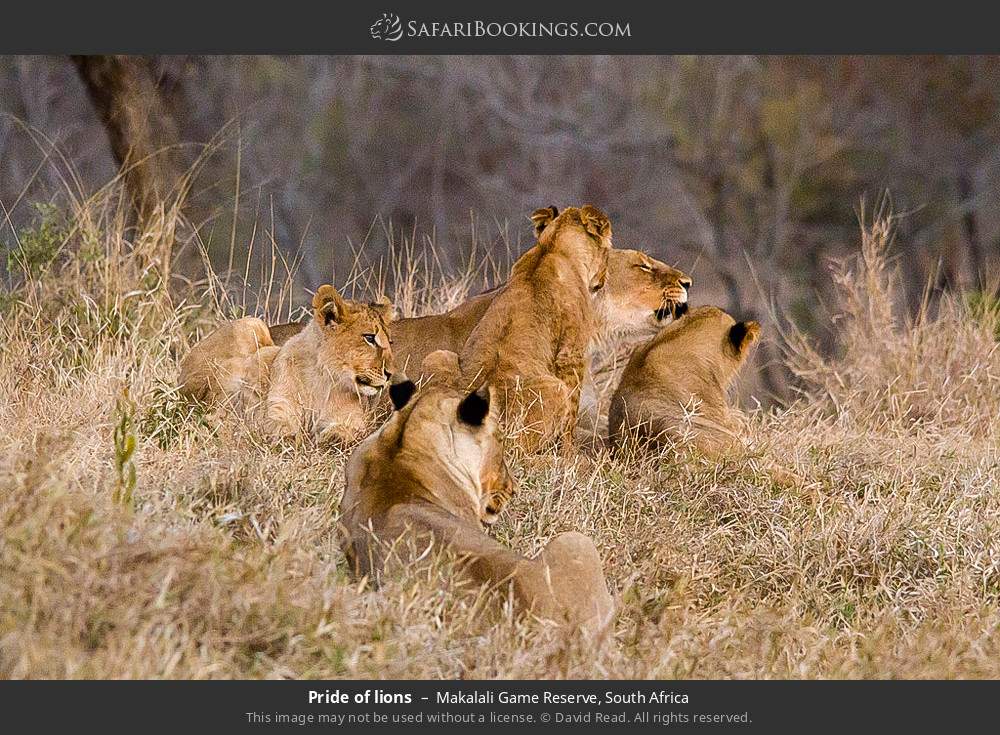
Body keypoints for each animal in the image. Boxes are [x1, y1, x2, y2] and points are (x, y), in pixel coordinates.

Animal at [266, 284, 398, 446]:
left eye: (390, 342)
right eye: (369, 338)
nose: (391, 374)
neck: (320, 376)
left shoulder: (353, 419)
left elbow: (345, 430)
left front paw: (329, 437)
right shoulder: (279, 406)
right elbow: (278, 426)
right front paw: (287, 437)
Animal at [458, 204, 612, 452]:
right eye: (608, 254)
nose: (604, 280)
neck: (551, 247)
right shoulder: (572, 354)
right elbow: (572, 411)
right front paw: (568, 452)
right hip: (554, 387)